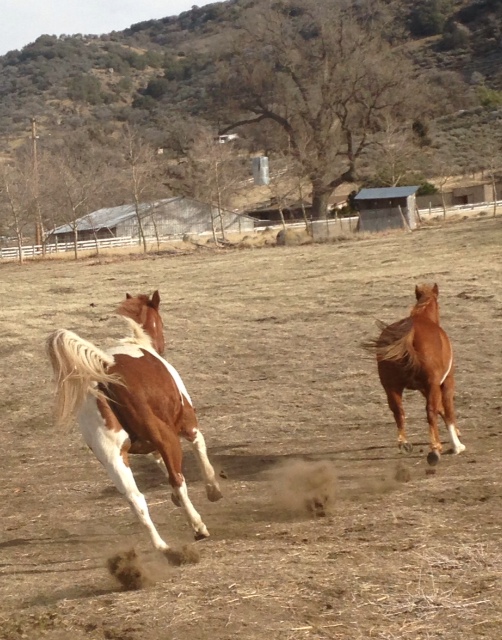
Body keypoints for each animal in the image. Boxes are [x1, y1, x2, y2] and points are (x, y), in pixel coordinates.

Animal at [46, 290, 223, 556]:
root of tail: (105, 373)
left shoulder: (149, 448)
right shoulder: (187, 426)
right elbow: (200, 454)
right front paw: (213, 491)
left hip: (114, 458)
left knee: (135, 499)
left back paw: (162, 547)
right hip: (167, 439)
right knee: (177, 480)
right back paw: (197, 527)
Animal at [370, 284, 464, 464]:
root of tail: (410, 333)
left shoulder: (423, 388)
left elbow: (441, 408)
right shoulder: (445, 382)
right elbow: (447, 409)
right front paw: (457, 445)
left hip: (391, 387)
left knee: (398, 411)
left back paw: (404, 444)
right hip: (432, 385)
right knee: (430, 412)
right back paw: (435, 450)